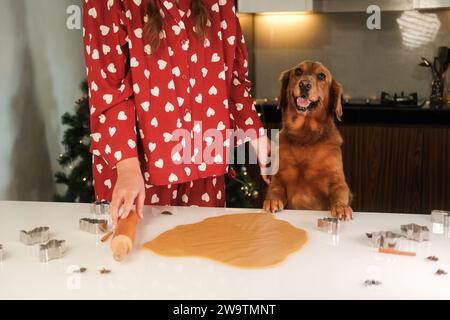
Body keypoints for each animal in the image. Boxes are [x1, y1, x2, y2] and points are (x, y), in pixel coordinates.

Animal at [262, 60, 354, 220]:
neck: (305, 136)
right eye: (298, 71)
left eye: (322, 76)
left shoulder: (338, 181)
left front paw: (341, 207)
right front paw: (272, 200)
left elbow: (339, 193)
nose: (304, 84)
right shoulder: (278, 178)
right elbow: (276, 189)